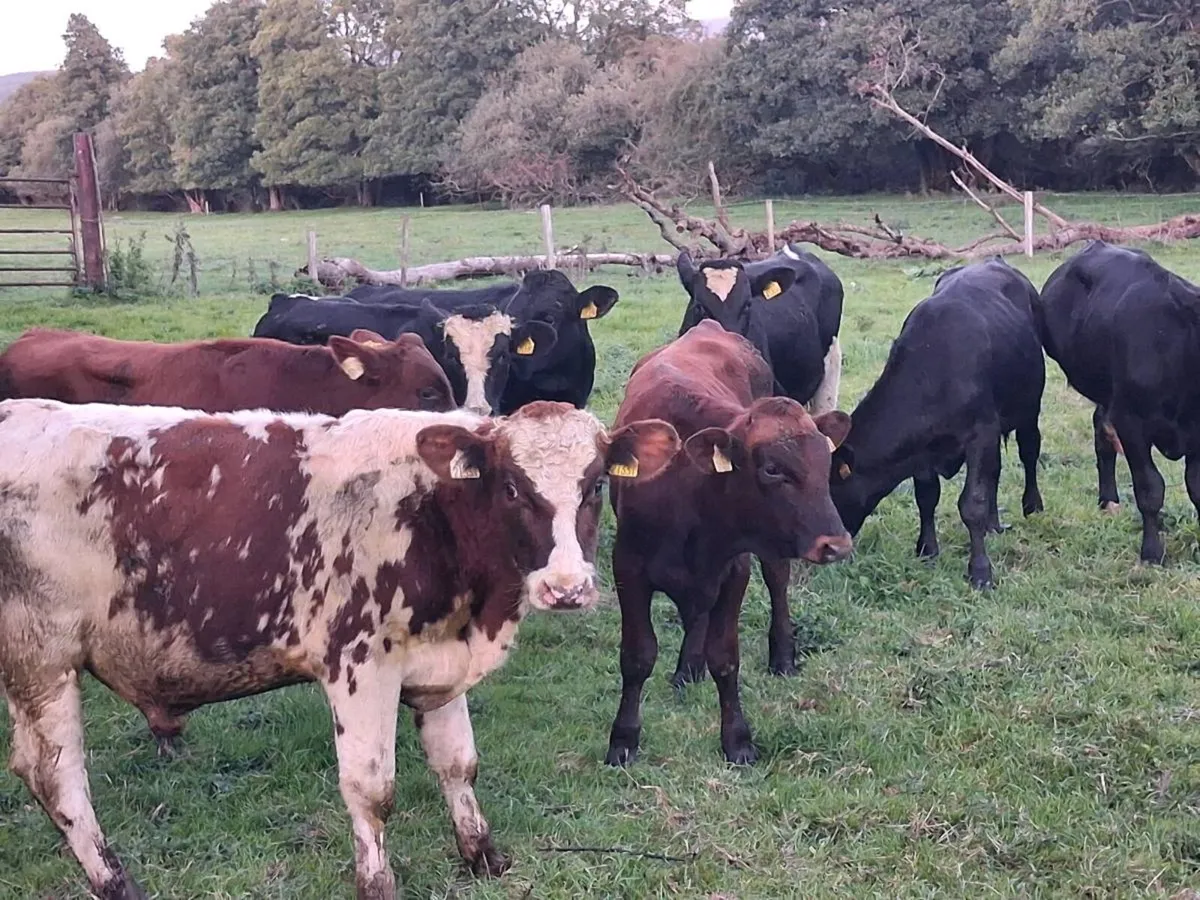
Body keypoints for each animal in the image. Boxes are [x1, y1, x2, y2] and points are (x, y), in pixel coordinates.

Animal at [0, 397, 679, 900]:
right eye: (511, 487)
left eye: (595, 485)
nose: (566, 587)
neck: (432, 511)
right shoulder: (359, 665)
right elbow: (371, 789)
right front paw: (377, 883)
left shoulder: (439, 661)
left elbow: (458, 763)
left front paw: (482, 854)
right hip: (41, 659)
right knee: (56, 777)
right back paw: (115, 882)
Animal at [604, 320, 853, 767]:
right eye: (772, 469)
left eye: (825, 463)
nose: (837, 544)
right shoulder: (628, 567)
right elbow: (637, 656)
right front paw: (623, 739)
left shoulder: (734, 568)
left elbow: (725, 658)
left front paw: (737, 739)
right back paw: (688, 667)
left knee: (777, 582)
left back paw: (781, 655)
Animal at [828, 257, 1046, 589]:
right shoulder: (924, 450)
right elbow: (927, 497)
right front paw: (927, 550)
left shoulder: (981, 433)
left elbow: (972, 503)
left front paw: (980, 571)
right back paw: (994, 524)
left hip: (1029, 405)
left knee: (1029, 451)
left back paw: (1032, 505)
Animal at [1035, 240, 1200, 563]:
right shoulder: (1131, 422)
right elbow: (1150, 488)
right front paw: (1151, 552)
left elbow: (1197, 487)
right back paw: (1109, 501)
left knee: (1101, 429)